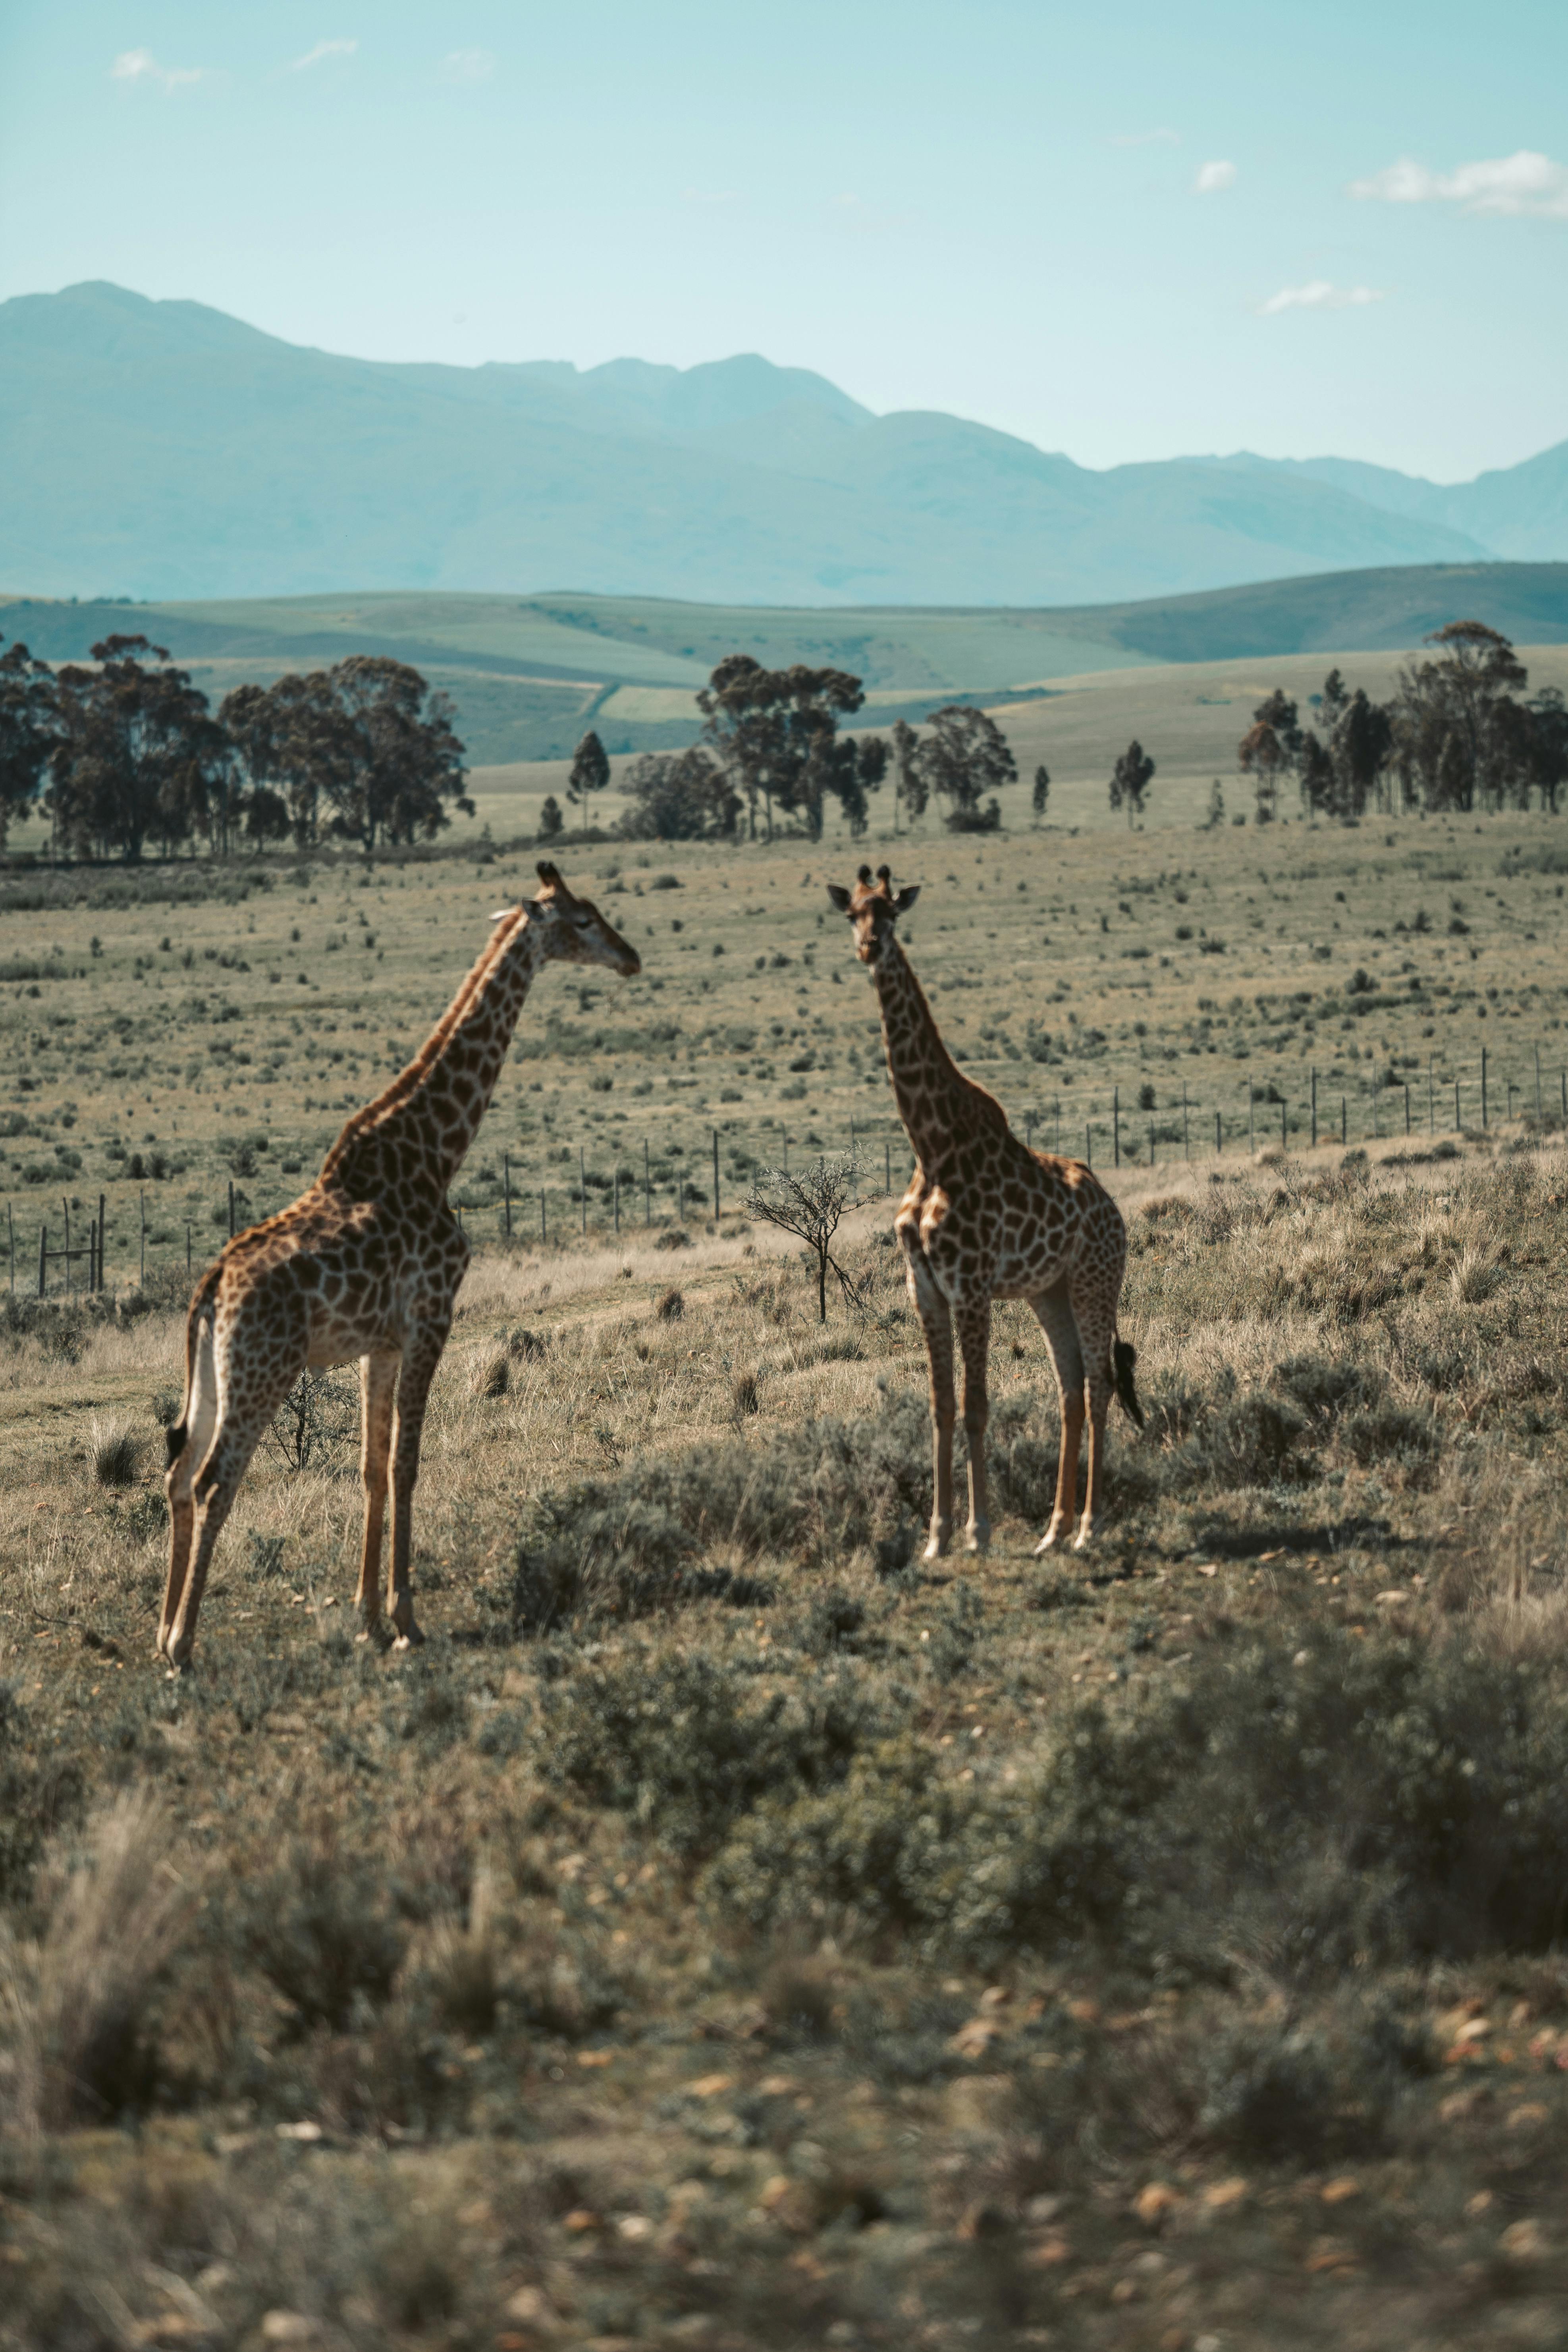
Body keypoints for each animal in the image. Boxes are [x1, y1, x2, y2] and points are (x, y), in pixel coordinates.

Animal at [157, 863, 640, 1672]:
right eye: (581, 919)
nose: (630, 956)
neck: (436, 1151)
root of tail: (212, 1287)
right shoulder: (431, 1318)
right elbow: (408, 1465)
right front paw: (408, 1619)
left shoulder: (377, 1343)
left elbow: (372, 1469)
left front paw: (368, 1618)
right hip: (262, 1368)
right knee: (214, 1479)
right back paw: (185, 1645)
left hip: (214, 1374)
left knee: (176, 1474)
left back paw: (161, 1629)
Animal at [827, 865, 1142, 1560]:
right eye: (852, 913)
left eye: (891, 912)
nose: (868, 947)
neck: (931, 1145)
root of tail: (1114, 1212)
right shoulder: (924, 1285)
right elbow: (941, 1406)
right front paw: (936, 1536)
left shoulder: (969, 1284)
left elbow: (976, 1405)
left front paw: (977, 1531)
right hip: (1048, 1290)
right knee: (1070, 1387)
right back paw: (1052, 1531)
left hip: (1094, 1279)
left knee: (1100, 1383)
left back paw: (1088, 1527)